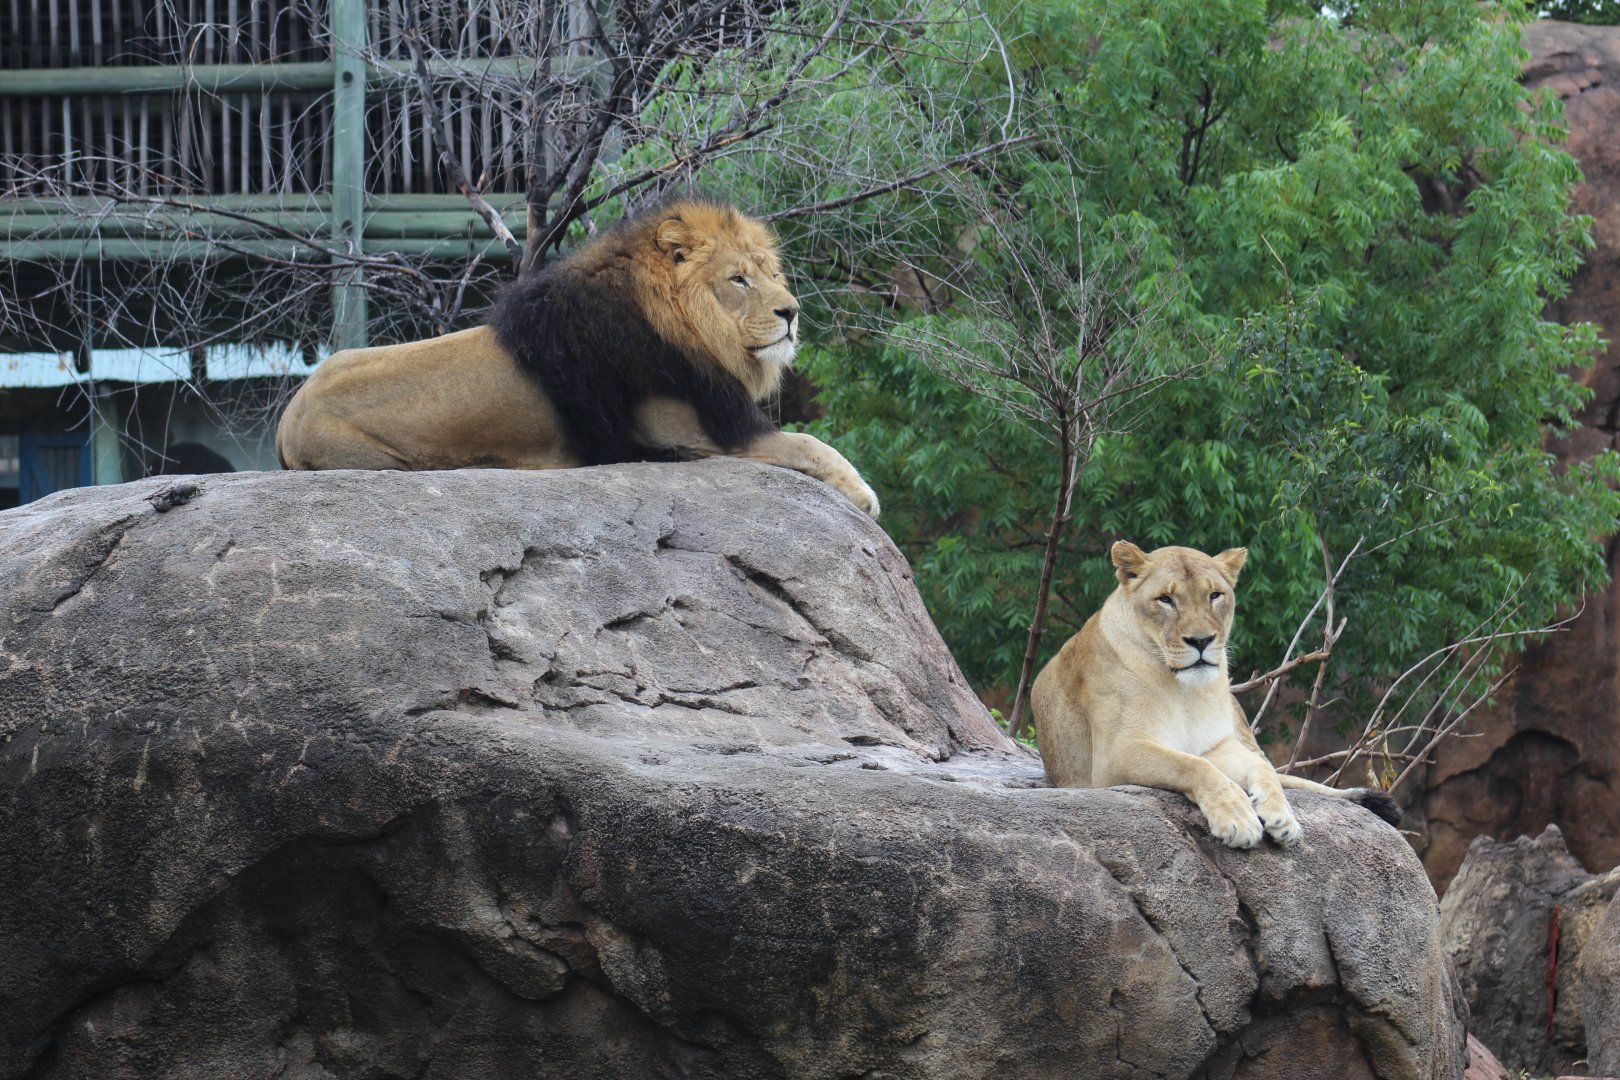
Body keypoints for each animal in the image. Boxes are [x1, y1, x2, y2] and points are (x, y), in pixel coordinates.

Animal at [275, 196, 879, 517]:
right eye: (738, 280)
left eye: (773, 274)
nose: (792, 312)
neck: (692, 330)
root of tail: (287, 416)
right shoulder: (685, 430)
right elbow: (809, 443)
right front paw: (864, 494)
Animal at [1031, 541, 1400, 849]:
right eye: (1166, 599)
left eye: (1214, 595)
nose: (1201, 641)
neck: (1184, 690)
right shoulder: (1115, 756)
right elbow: (1191, 765)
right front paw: (1238, 818)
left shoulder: (1216, 744)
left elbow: (1259, 768)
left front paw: (1281, 817)